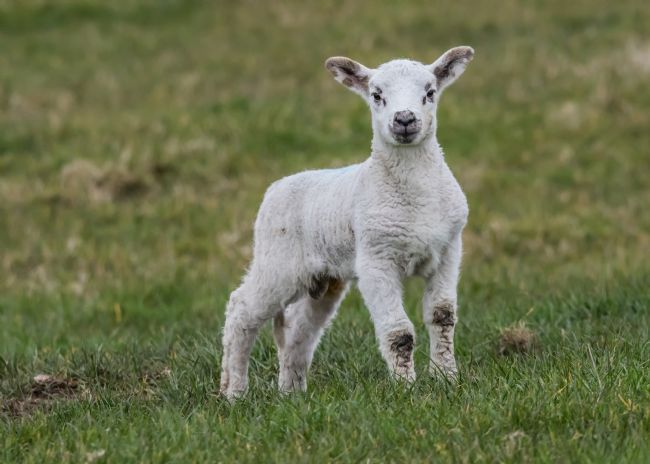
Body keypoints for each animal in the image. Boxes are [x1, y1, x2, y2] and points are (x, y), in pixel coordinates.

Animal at [220, 46, 475, 399]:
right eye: (377, 95)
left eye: (430, 92)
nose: (404, 119)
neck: (415, 195)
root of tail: (277, 187)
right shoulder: (376, 259)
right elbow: (399, 333)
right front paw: (406, 391)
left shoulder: (449, 249)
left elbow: (442, 317)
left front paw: (447, 378)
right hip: (278, 261)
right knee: (241, 309)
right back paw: (234, 391)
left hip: (324, 280)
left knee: (299, 329)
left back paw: (292, 392)